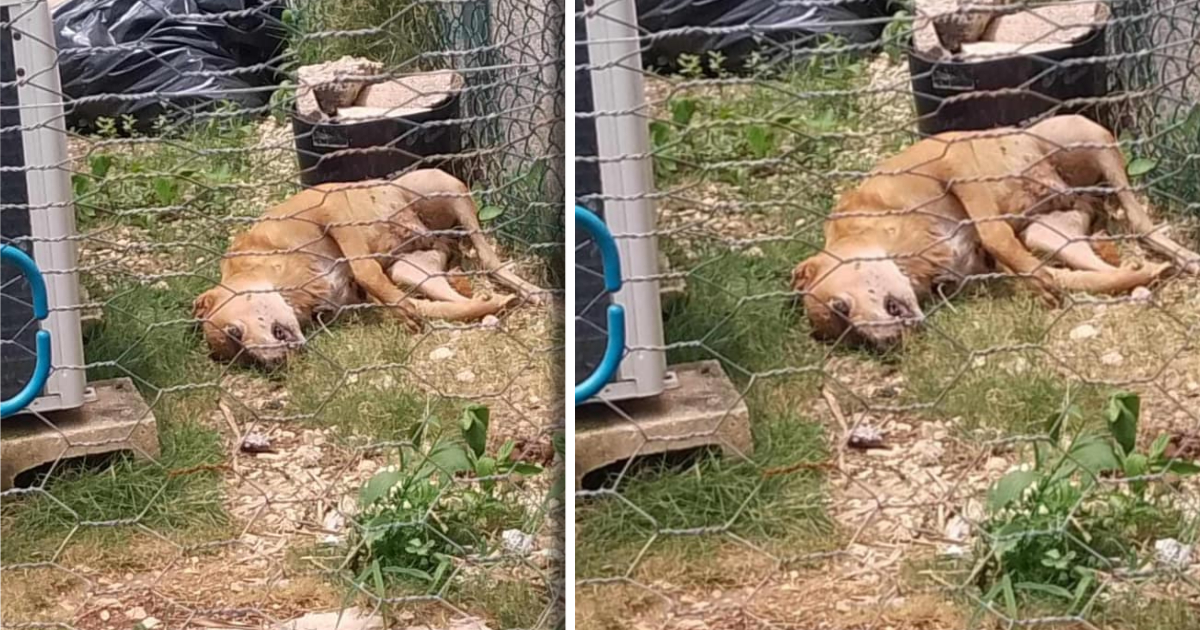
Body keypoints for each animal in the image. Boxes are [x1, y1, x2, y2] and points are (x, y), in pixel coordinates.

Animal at [193, 166, 544, 364]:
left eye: (235, 333)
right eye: (245, 360)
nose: (275, 363)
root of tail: (440, 238)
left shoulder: (331, 211)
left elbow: (365, 269)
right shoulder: (362, 299)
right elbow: (431, 307)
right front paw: (486, 305)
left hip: (440, 186)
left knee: (489, 257)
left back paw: (528, 290)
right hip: (411, 267)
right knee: (448, 288)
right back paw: (485, 295)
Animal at [796, 112, 1200, 348]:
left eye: (841, 307)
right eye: (854, 340)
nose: (888, 344)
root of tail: (1082, 196)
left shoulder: (954, 164)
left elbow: (994, 233)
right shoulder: (989, 267)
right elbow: (1071, 278)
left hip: (1082, 134)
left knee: (1140, 222)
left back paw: (1185, 258)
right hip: (1048, 232)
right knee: (1094, 256)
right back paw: (1136, 265)